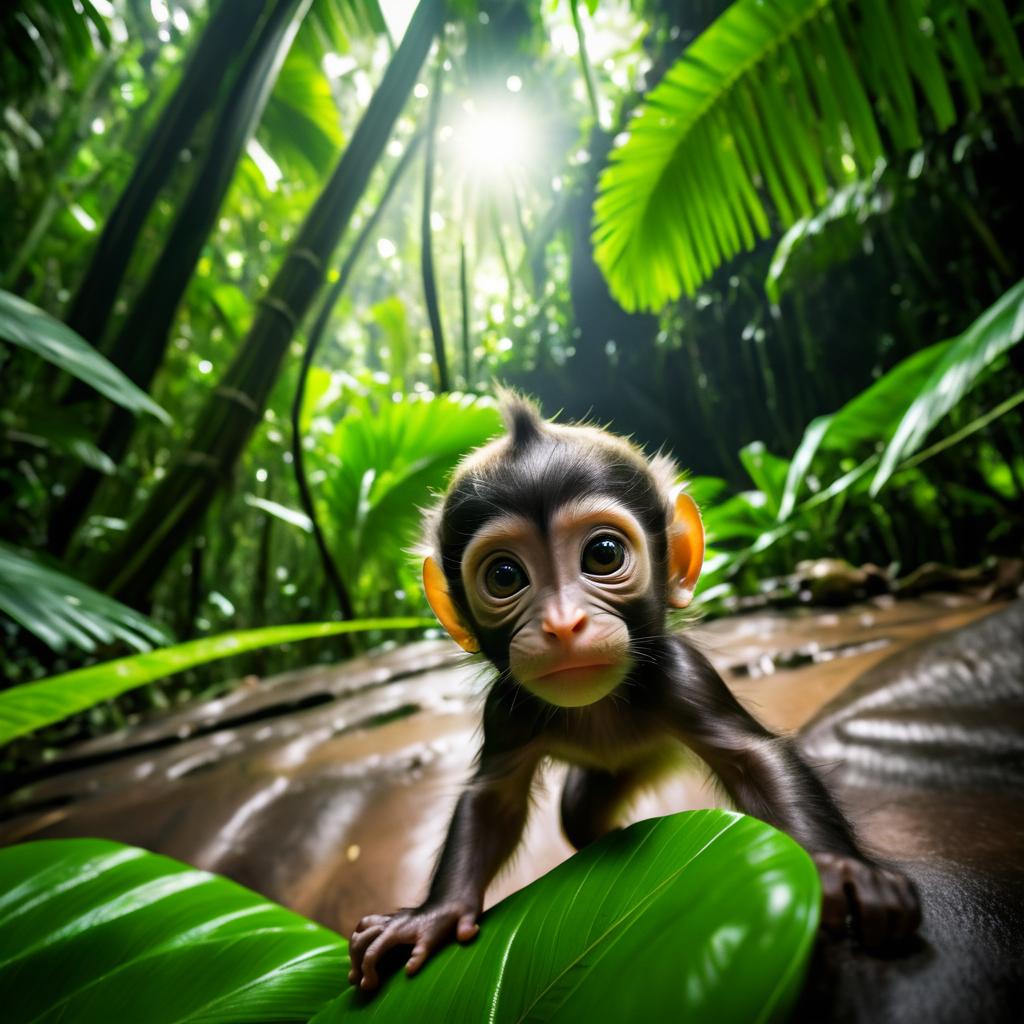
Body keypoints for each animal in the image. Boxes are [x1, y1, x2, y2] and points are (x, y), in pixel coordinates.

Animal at [350, 395, 921, 987]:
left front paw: (843, 869)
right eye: (505, 576)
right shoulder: (505, 710)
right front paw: (432, 916)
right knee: (579, 814)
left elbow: (754, 758)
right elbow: (492, 798)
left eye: (603, 554)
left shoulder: (683, 677)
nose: (562, 624)